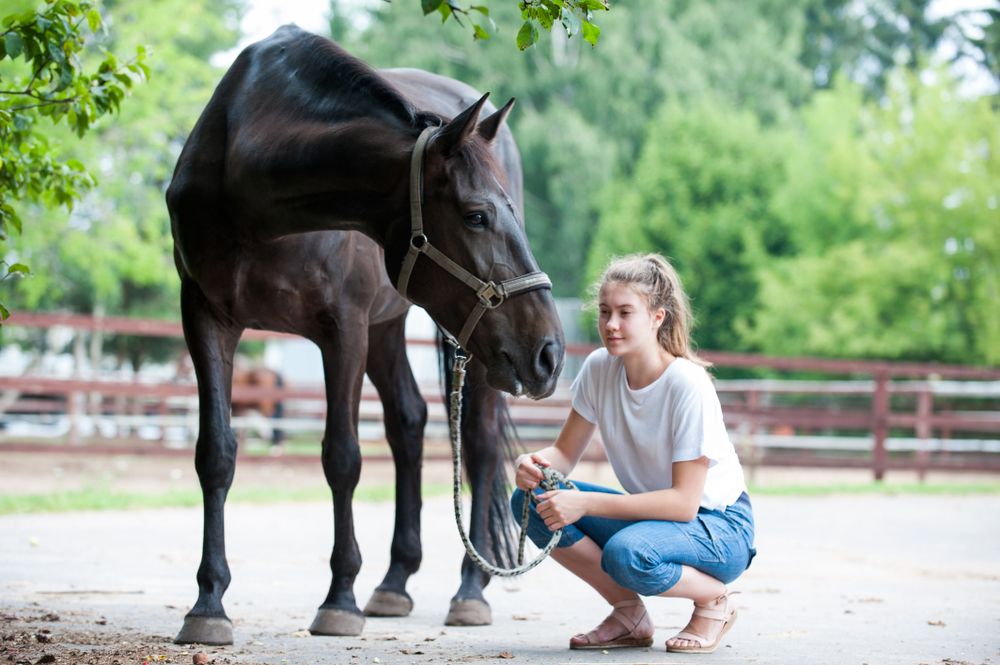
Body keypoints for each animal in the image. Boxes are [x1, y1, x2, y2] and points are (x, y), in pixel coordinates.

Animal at [168, 24, 568, 644]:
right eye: (476, 215)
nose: (550, 352)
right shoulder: (207, 316)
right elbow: (216, 454)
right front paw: (208, 603)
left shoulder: (344, 328)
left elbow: (342, 457)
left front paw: (339, 598)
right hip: (390, 326)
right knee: (409, 423)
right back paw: (394, 582)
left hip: (465, 349)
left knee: (475, 443)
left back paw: (469, 590)